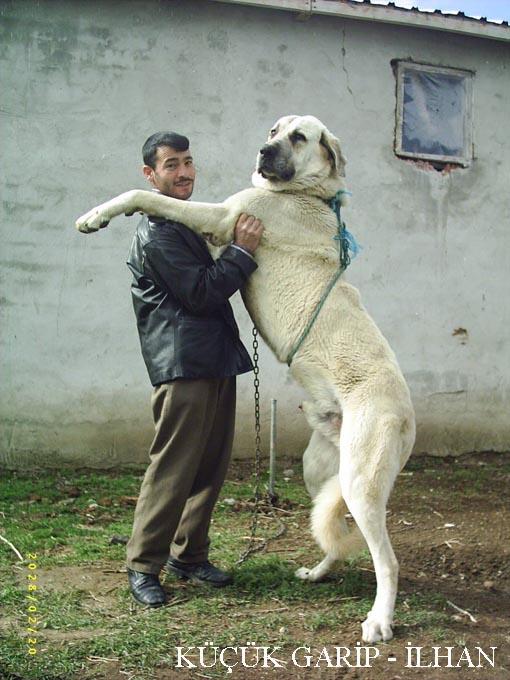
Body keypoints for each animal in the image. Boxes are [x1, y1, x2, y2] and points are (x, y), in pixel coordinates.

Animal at [77, 114, 416, 640]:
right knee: (337, 533)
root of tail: (408, 414)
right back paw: (319, 572)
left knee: (387, 559)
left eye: (299, 137)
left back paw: (379, 620)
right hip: (321, 471)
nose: (262, 150)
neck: (306, 192)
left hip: (362, 480)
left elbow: (150, 196)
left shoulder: (223, 216)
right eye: (275, 128)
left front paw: (97, 215)